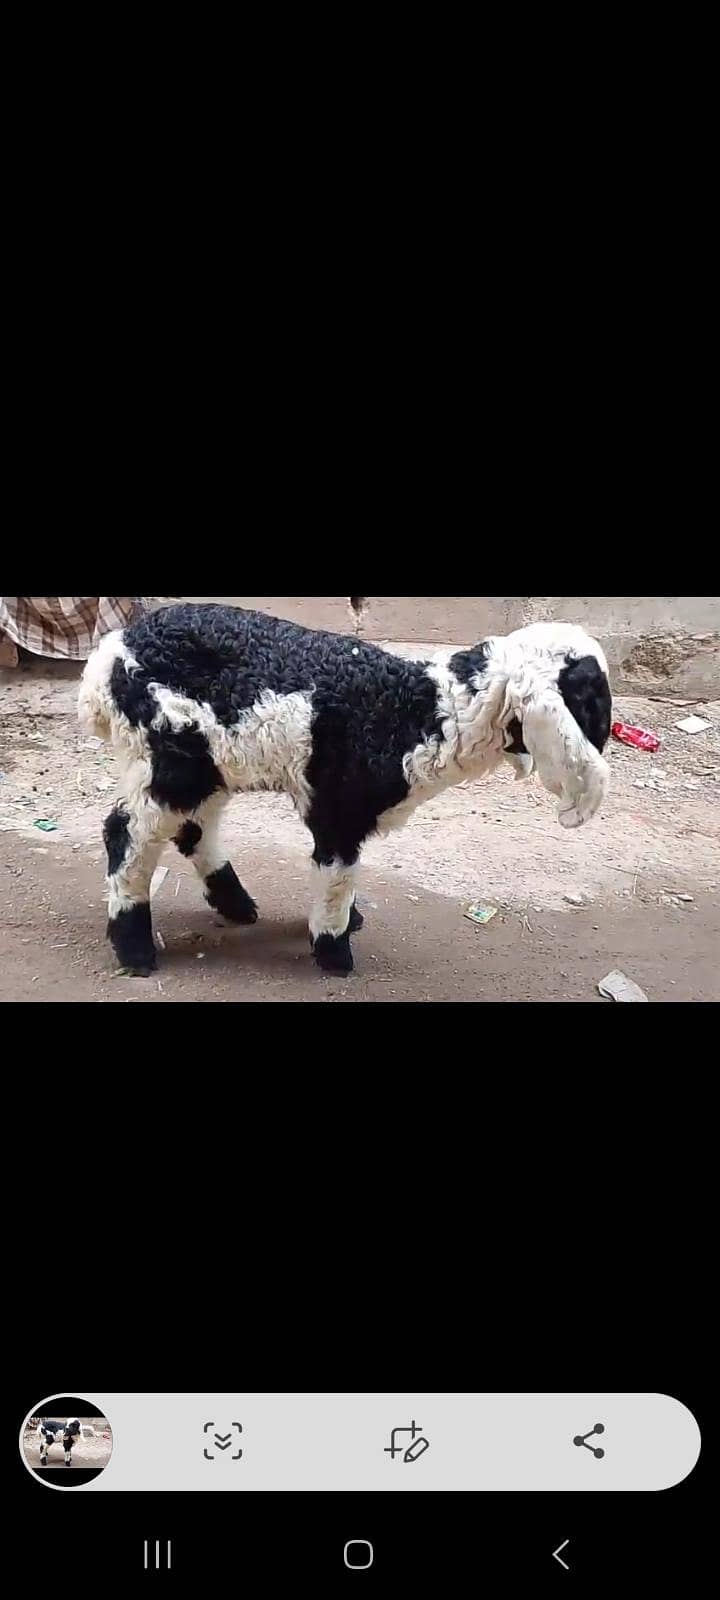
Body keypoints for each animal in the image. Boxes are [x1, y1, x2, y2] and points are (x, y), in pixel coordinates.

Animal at [78, 603, 612, 978]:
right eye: (591, 696)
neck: (418, 713)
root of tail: (107, 658)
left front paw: (344, 924)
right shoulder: (338, 808)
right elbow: (335, 877)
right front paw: (334, 952)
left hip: (210, 762)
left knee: (193, 830)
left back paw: (236, 905)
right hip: (170, 753)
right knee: (126, 835)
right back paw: (135, 948)